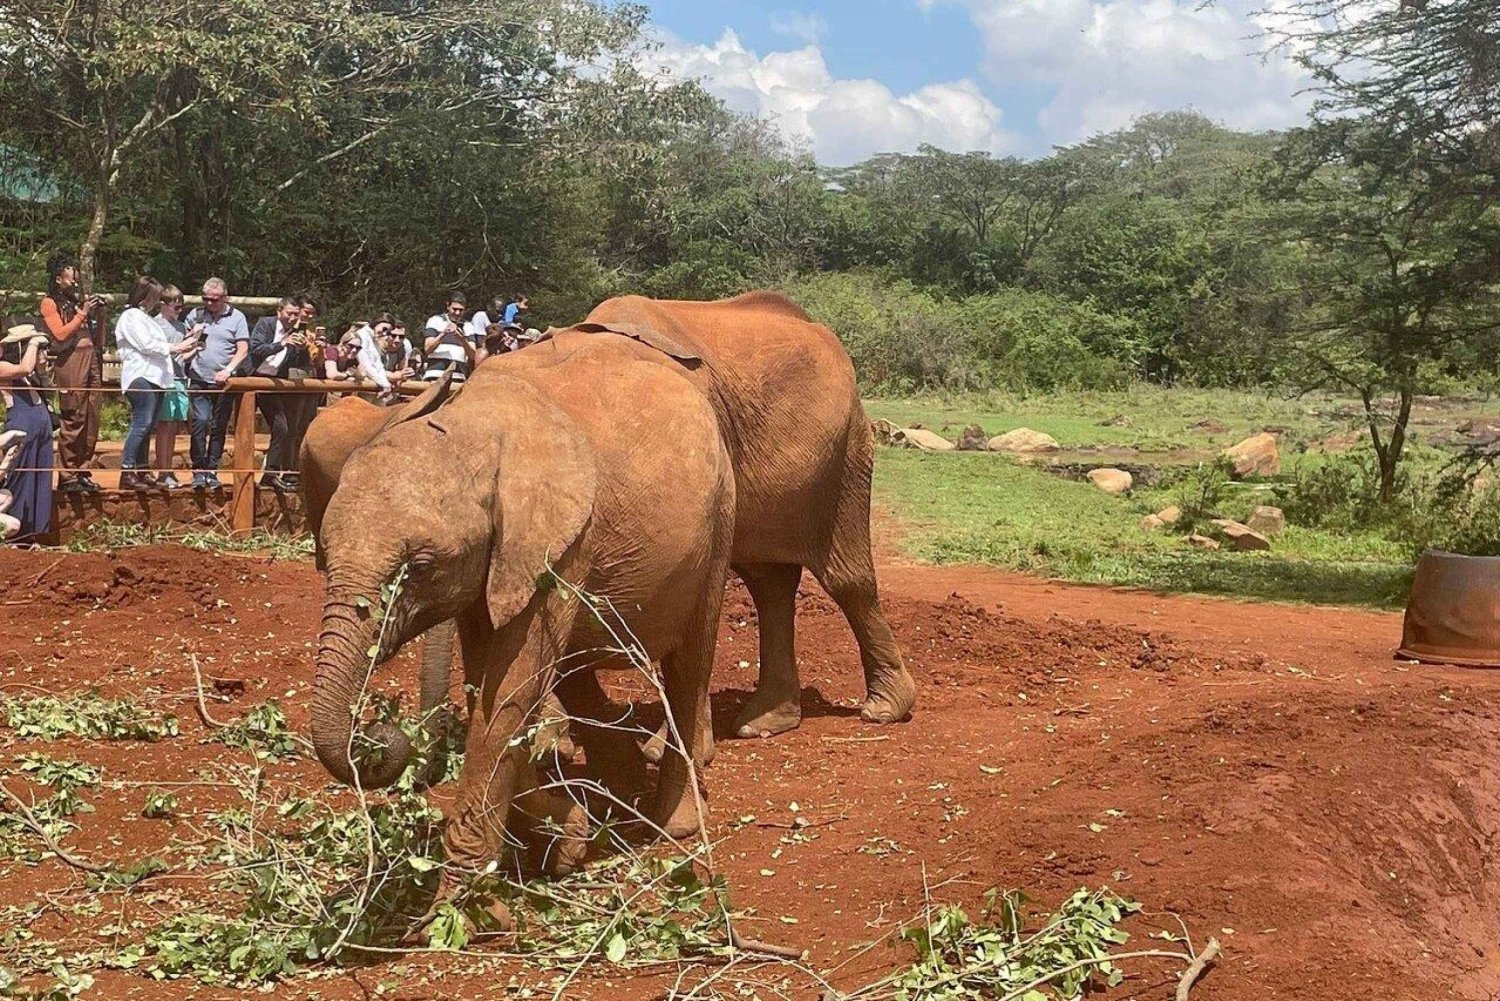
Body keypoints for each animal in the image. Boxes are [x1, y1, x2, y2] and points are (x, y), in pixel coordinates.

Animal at [310, 336, 736, 876]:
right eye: (323, 555)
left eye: (421, 567)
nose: (380, 736)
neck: (473, 426)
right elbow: (489, 688)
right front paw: (569, 842)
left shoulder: (561, 548)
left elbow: (510, 691)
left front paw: (465, 892)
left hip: (720, 519)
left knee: (689, 665)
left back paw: (673, 826)